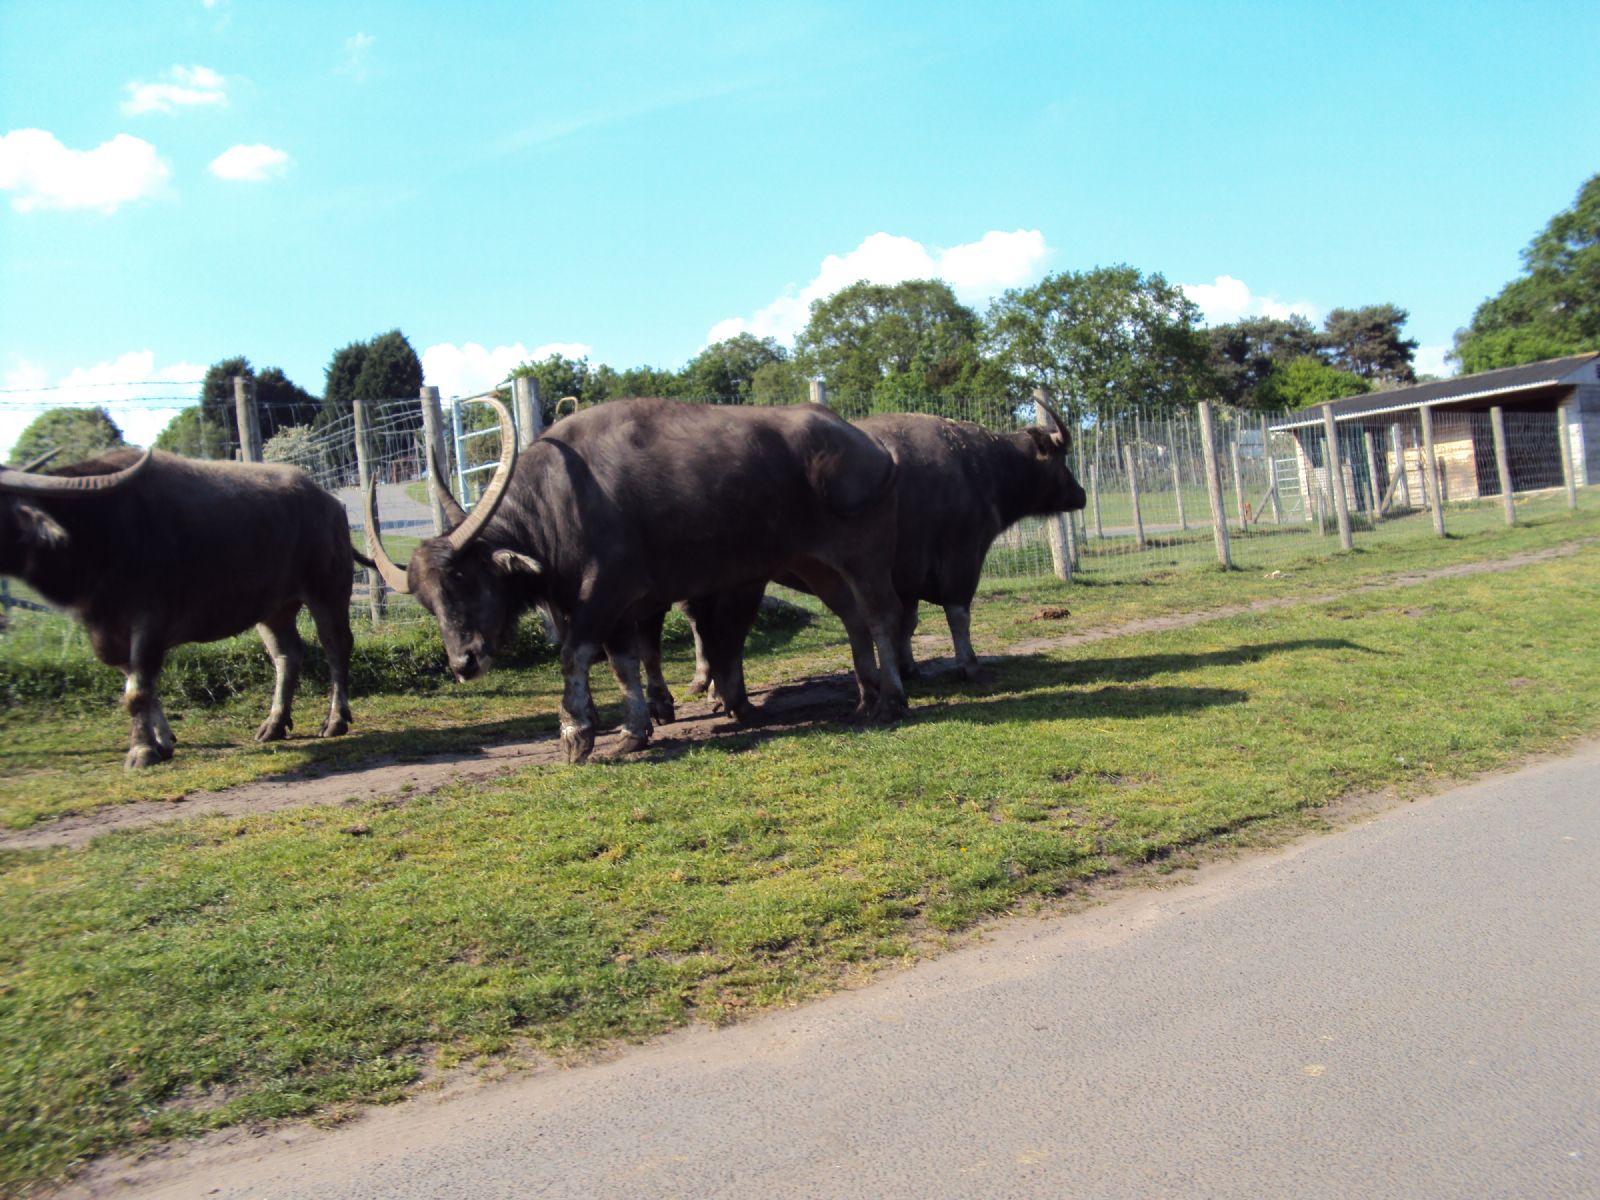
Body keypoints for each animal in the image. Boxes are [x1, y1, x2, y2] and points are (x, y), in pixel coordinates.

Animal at [0, 448, 356, 771]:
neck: (98, 530)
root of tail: (329, 502)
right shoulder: (108, 632)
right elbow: (141, 686)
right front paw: (163, 741)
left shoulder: (149, 621)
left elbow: (138, 692)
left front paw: (142, 751)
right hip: (274, 607)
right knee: (286, 654)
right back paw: (274, 724)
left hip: (328, 590)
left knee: (335, 646)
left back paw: (335, 720)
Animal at [366, 400, 915, 764]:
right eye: (426, 601)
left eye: (465, 578)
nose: (464, 663)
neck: (560, 507)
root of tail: (872, 447)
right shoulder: (607, 608)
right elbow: (623, 664)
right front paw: (634, 731)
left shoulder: (606, 595)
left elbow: (575, 655)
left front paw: (576, 733)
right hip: (815, 564)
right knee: (853, 617)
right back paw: (864, 699)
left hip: (862, 554)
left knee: (881, 615)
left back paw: (890, 700)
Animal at [662, 395, 1088, 713]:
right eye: (1061, 459)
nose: (1081, 494)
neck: (981, 466)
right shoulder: (961, 556)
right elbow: (958, 615)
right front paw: (969, 666)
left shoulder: (907, 574)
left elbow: (907, 622)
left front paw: (906, 667)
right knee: (719, 631)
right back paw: (717, 693)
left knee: (707, 628)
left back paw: (711, 690)